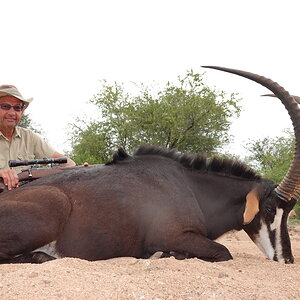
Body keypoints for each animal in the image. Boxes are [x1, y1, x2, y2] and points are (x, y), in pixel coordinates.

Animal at [0, 67, 298, 264]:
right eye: (269, 209)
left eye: (289, 211)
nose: (287, 259)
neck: (191, 187)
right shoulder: (174, 236)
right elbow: (224, 252)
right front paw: (165, 254)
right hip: (54, 205)